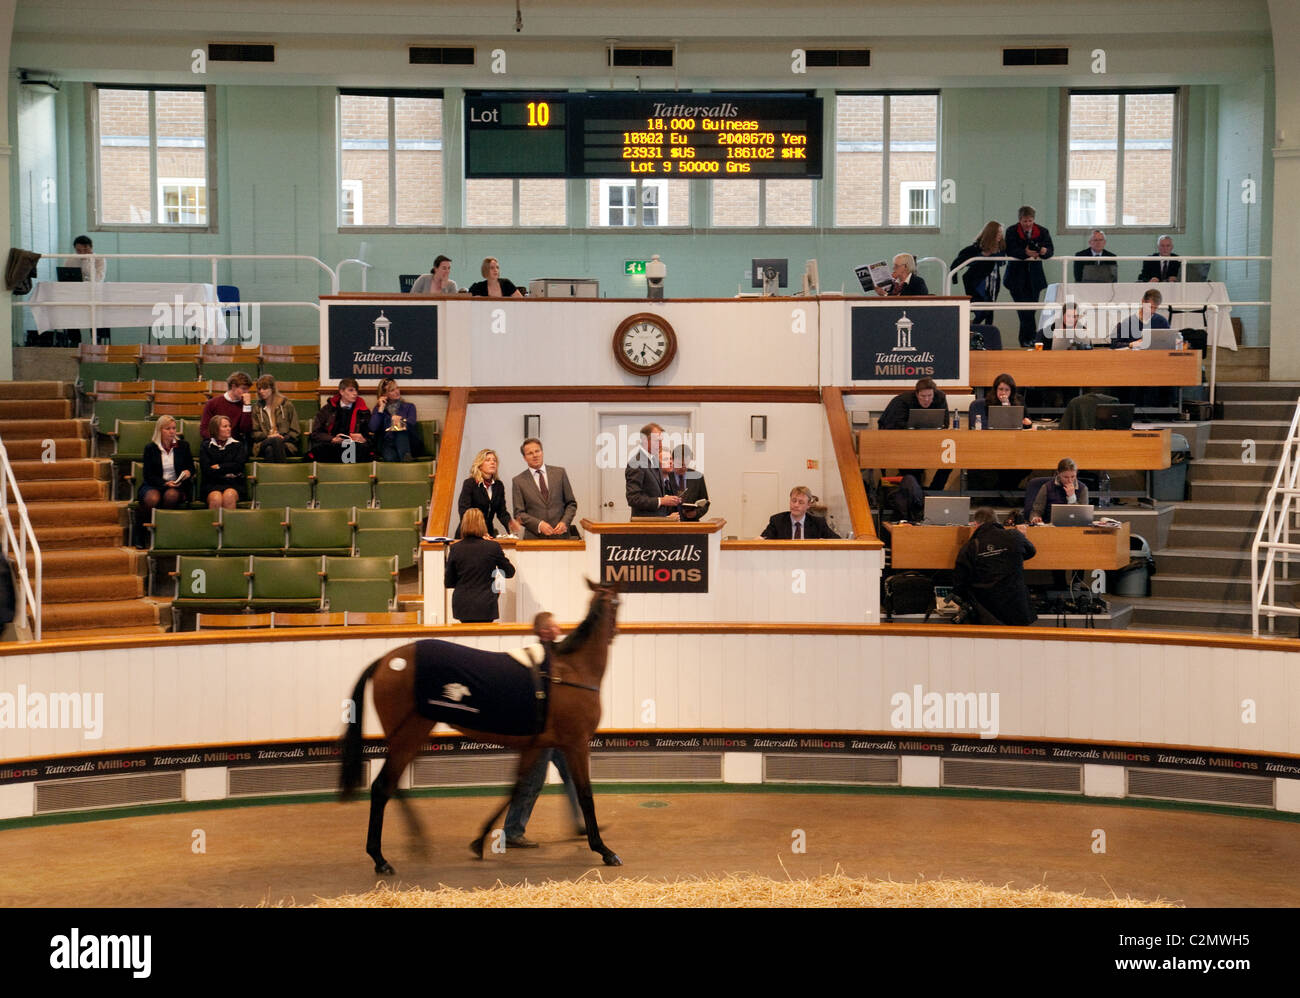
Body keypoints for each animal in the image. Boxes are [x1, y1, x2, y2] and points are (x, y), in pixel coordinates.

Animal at [335, 576, 618, 873]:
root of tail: (387, 661)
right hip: (409, 734)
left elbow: (517, 787)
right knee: (381, 787)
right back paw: (380, 858)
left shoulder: (536, 745)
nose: (614, 632)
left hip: (409, 736)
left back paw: (416, 839)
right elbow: (585, 793)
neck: (569, 671)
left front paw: (480, 840)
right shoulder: (576, 743)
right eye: (617, 602)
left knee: (393, 785)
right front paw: (604, 849)